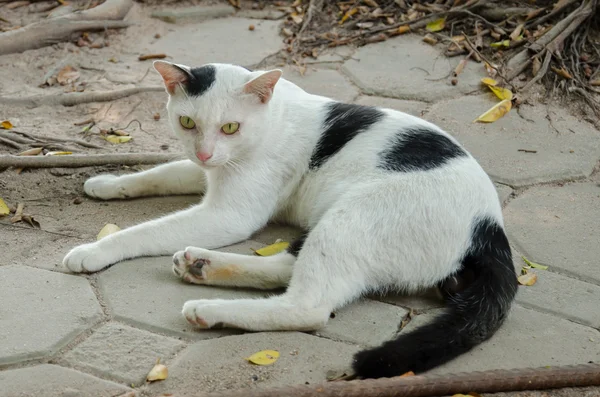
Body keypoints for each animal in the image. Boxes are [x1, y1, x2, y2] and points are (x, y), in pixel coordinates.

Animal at [63, 59, 516, 378]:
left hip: (350, 219)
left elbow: (144, 231)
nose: (206, 152)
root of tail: (490, 226)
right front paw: (108, 183)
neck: (271, 120)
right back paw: (202, 266)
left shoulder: (229, 214)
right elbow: (160, 174)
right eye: (187, 122)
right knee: (288, 266)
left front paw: (95, 249)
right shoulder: (206, 172)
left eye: (231, 127)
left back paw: (209, 307)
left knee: (308, 306)